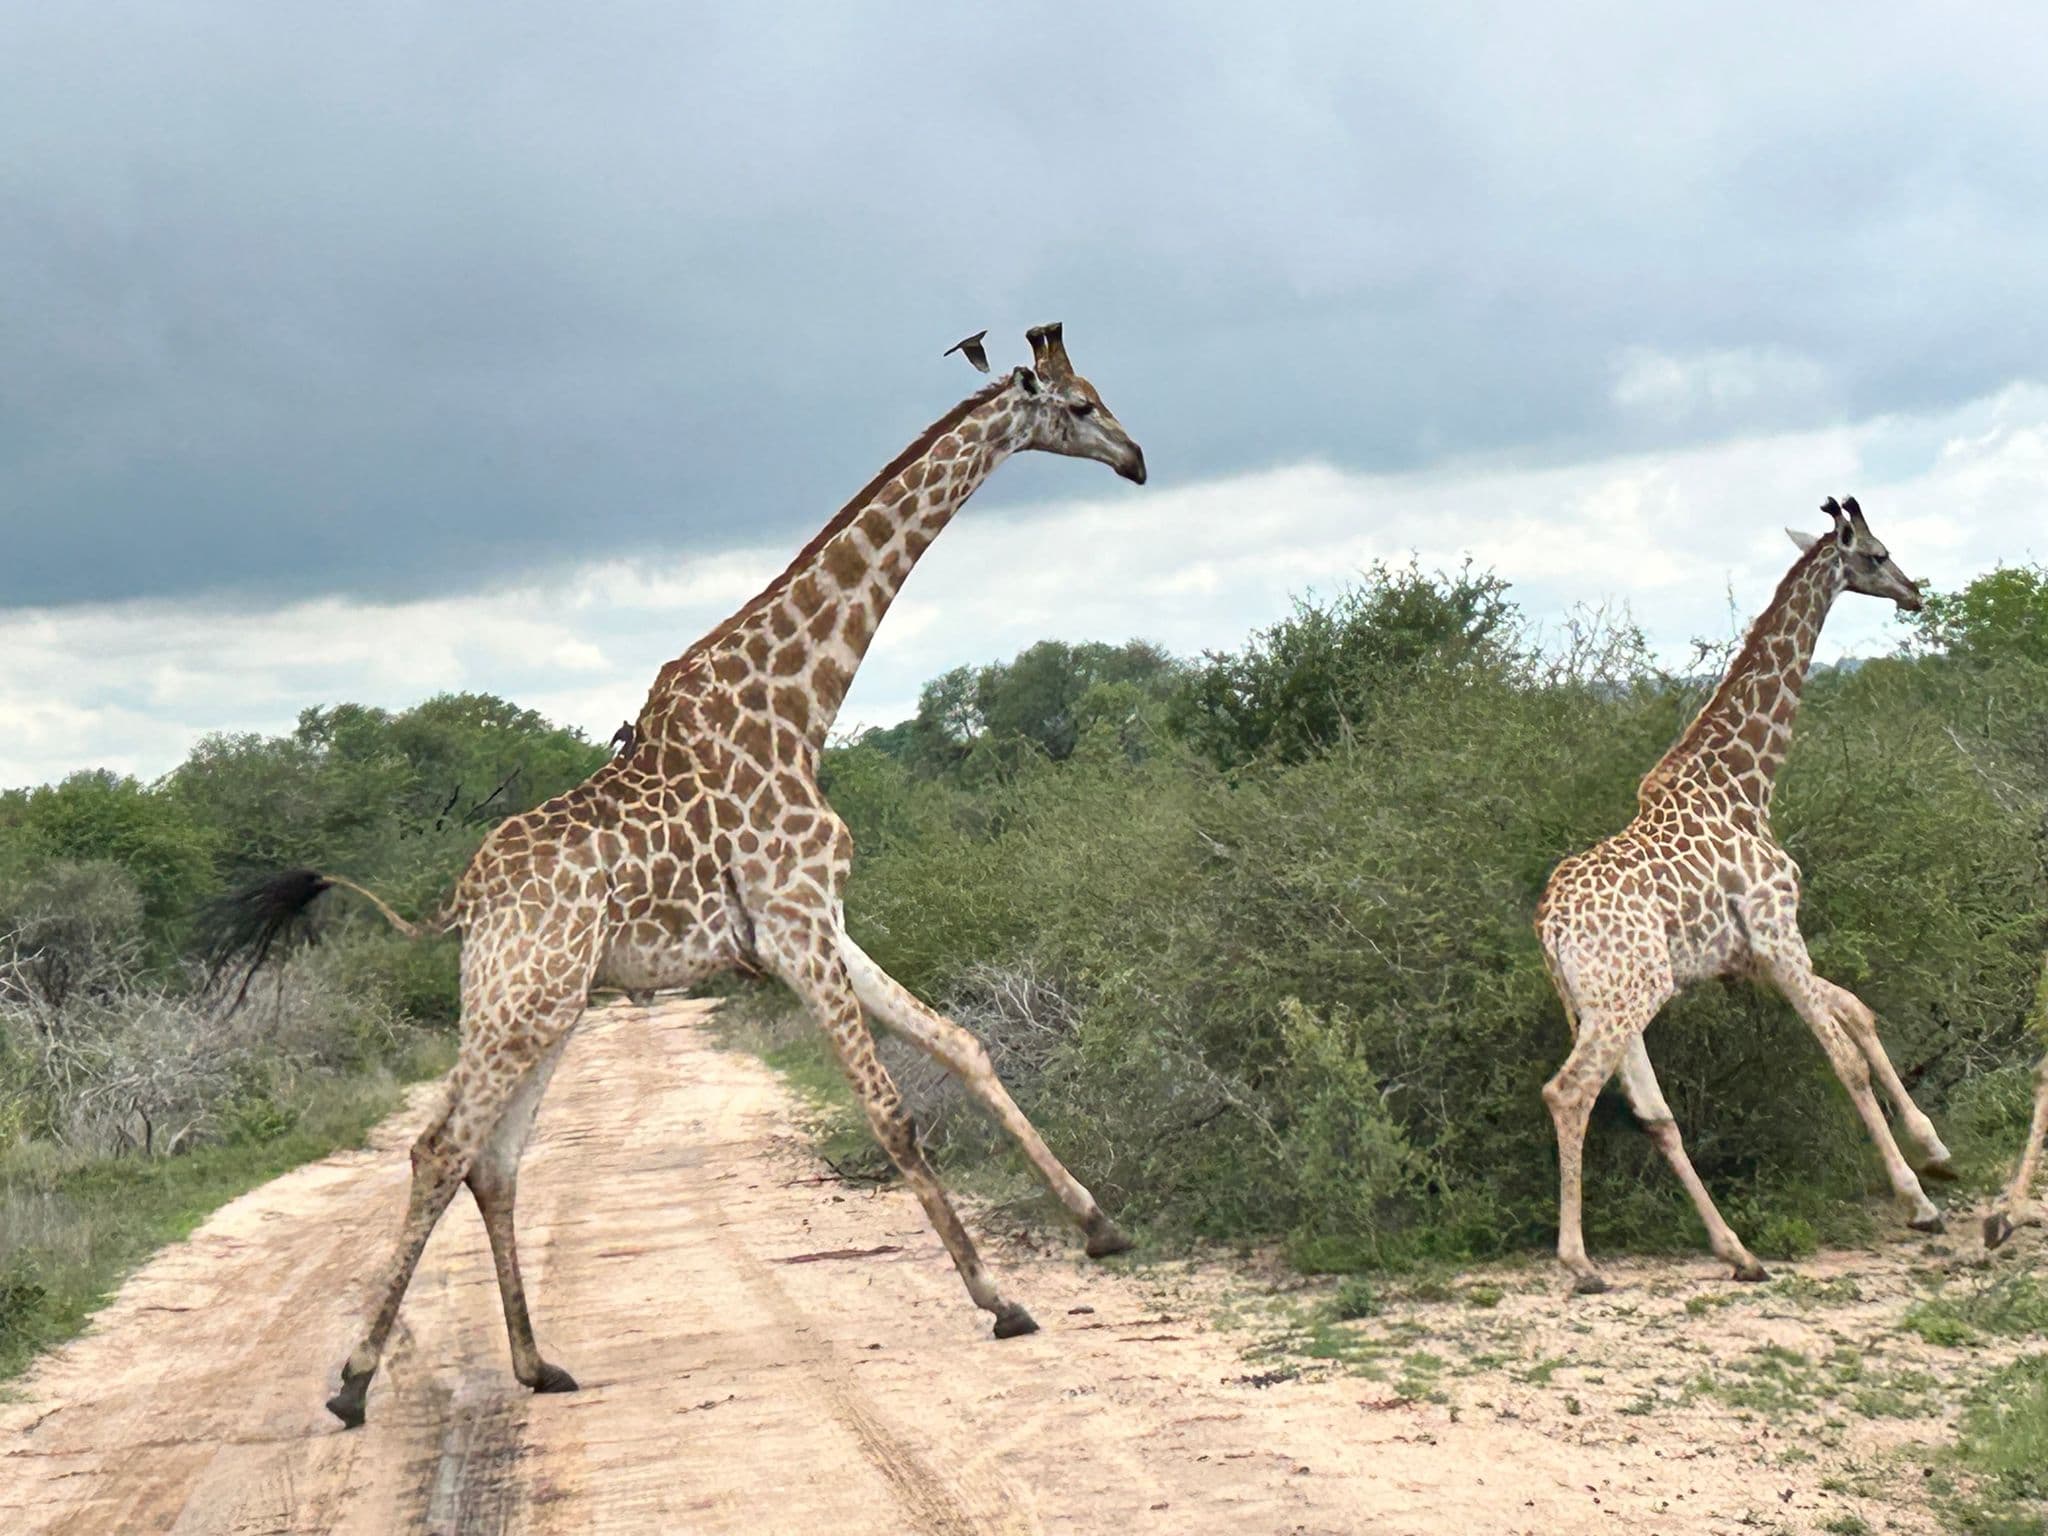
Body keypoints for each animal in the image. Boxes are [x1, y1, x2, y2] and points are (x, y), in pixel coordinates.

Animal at [216, 324, 1146, 1427]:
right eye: (1082, 406)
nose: (1138, 460)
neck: (798, 704)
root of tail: (465, 898)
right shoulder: (794, 926)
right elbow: (891, 1113)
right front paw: (998, 1298)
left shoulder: (819, 922)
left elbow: (963, 1045)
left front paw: (1100, 1226)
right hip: (526, 1000)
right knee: (441, 1149)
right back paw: (356, 1383)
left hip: (541, 1004)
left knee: (493, 1161)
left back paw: (538, 1363)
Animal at [1533, 495, 1949, 1294]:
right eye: (1876, 554)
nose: (1915, 593)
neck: (1744, 786)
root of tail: (1549, 927)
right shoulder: (1779, 932)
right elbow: (1843, 1057)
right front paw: (1918, 1202)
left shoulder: (1753, 956)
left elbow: (1857, 1010)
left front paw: (1935, 1149)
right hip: (1630, 994)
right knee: (1569, 1093)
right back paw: (1581, 1263)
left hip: (1611, 1000)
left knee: (1652, 1111)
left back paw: (1738, 1251)